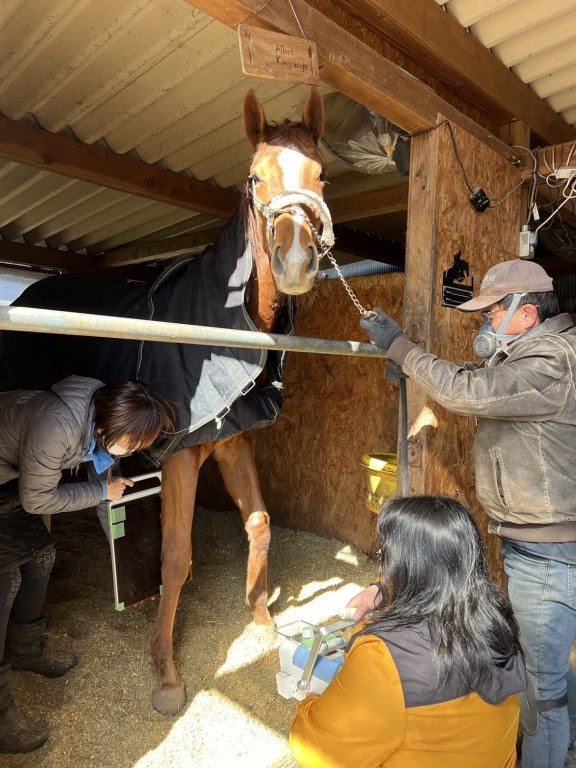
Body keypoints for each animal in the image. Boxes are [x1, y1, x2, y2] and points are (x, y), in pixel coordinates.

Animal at [0, 88, 329, 716]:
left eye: (321, 174)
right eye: (254, 176)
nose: (296, 260)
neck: (216, 327)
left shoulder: (231, 444)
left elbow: (259, 524)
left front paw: (261, 623)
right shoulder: (178, 457)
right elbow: (175, 558)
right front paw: (166, 674)